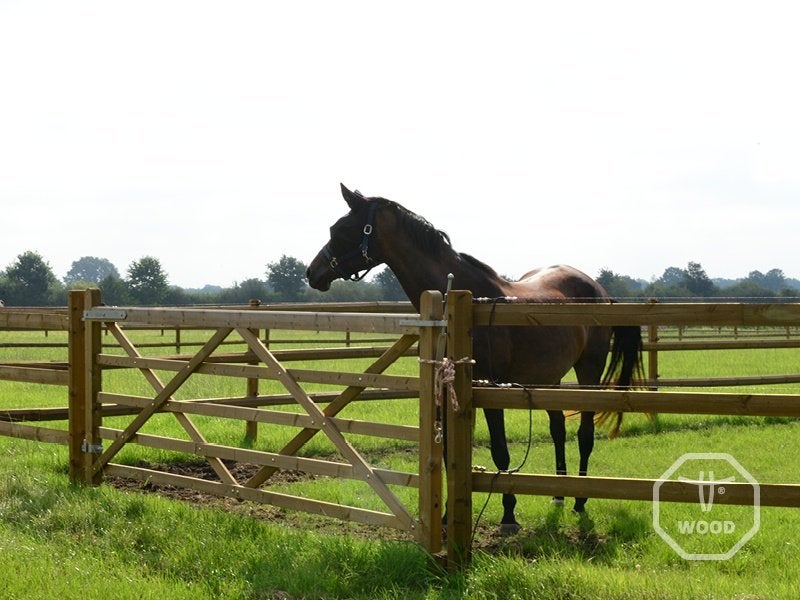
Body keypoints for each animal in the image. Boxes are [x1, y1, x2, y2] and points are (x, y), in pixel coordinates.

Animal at [306, 184, 643, 533]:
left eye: (340, 229)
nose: (312, 272)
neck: (463, 307)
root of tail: (600, 291)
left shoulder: (490, 388)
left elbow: (500, 452)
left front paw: (508, 517)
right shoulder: (447, 390)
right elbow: (448, 453)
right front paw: (445, 519)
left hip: (589, 369)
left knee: (584, 432)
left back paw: (579, 498)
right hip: (548, 377)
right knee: (558, 427)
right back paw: (559, 493)